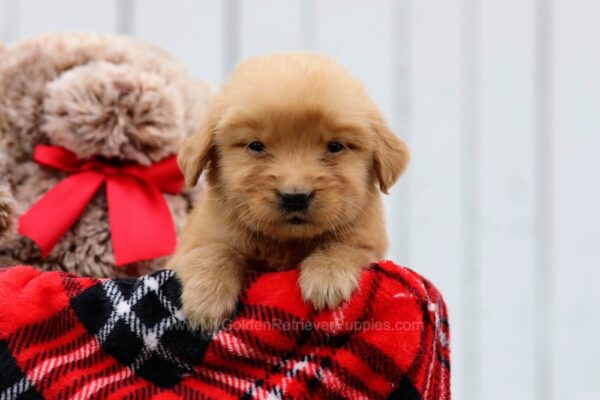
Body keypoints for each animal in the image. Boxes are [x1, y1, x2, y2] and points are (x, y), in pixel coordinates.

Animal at [171, 53, 410, 330]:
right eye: (255, 146)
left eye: (335, 146)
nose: (295, 197)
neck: (285, 243)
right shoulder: (195, 242)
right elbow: (212, 250)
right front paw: (206, 299)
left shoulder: (369, 240)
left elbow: (344, 245)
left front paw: (327, 277)